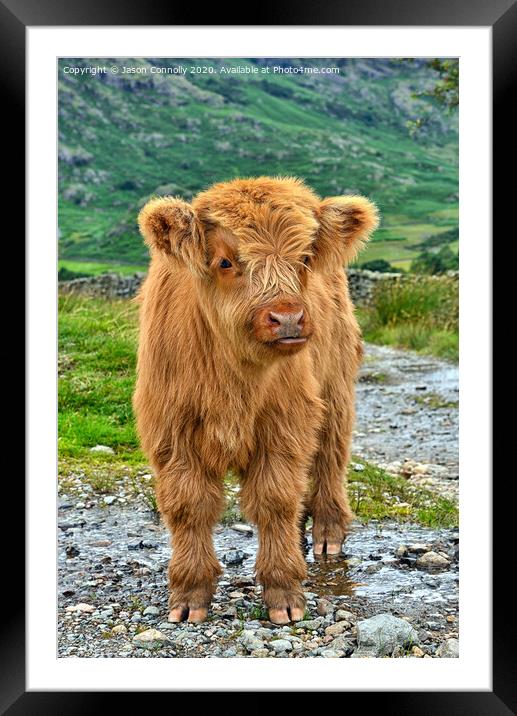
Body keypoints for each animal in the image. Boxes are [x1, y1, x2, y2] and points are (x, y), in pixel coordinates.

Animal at [133, 176, 374, 624]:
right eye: (226, 262)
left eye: (305, 257)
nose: (288, 318)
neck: (233, 383)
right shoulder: (172, 430)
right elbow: (189, 505)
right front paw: (189, 596)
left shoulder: (284, 423)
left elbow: (274, 500)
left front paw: (284, 594)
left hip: (335, 389)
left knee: (330, 457)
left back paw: (327, 534)